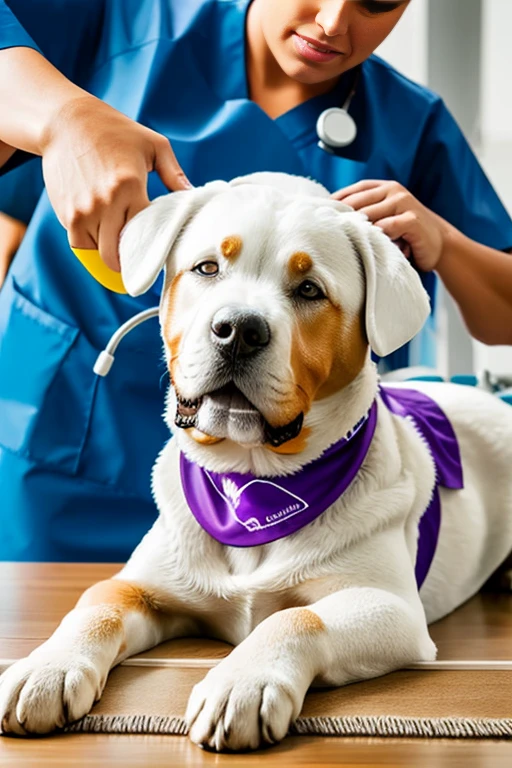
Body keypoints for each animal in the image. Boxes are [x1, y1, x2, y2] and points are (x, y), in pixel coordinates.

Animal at [3, 172, 512, 752]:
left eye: (310, 289)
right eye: (207, 268)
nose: (238, 330)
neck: (250, 484)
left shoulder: (390, 608)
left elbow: (297, 619)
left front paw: (242, 683)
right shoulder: (145, 584)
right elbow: (97, 606)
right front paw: (46, 667)